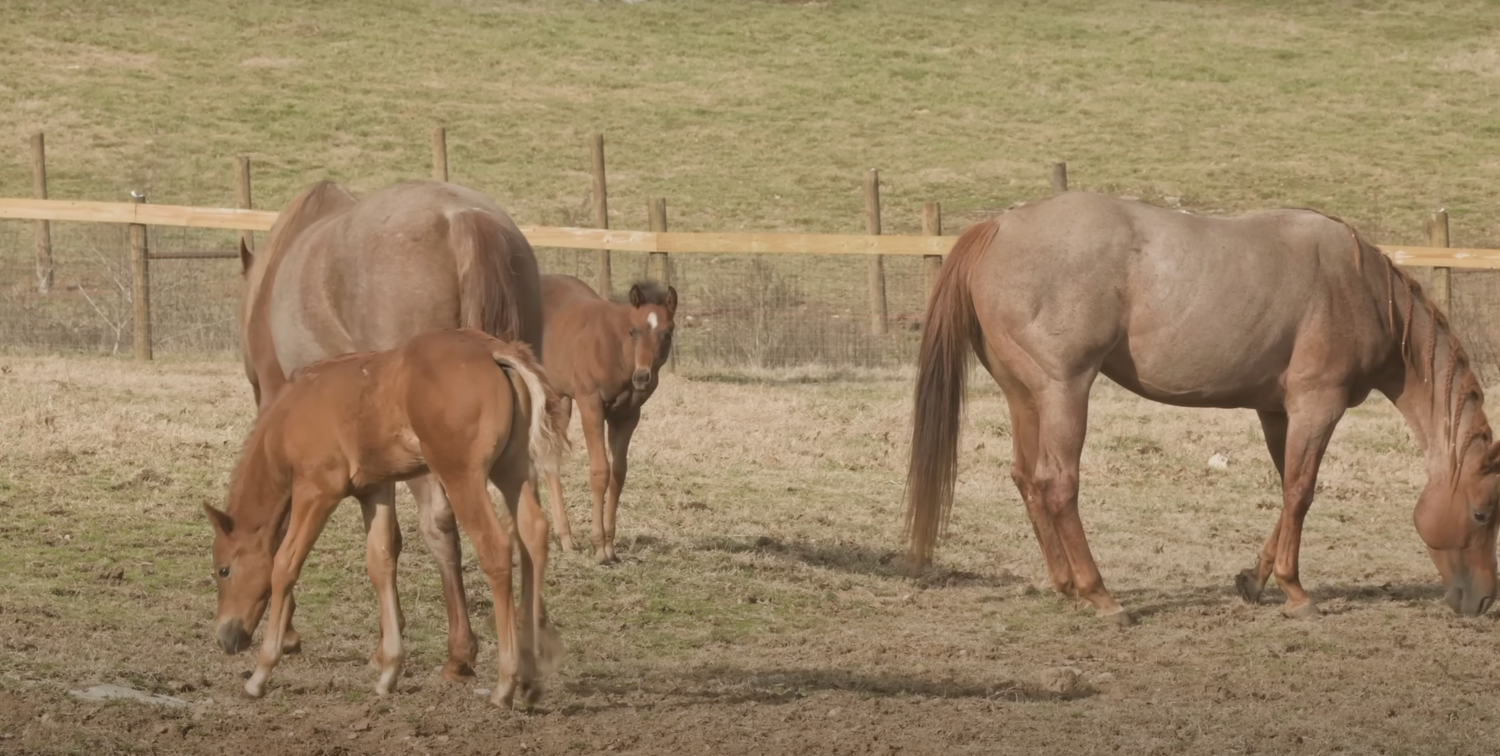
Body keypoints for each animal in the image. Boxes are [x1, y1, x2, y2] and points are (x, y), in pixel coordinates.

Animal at [205, 329, 568, 707]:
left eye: (223, 570)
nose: (225, 637)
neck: (292, 410)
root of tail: (494, 351)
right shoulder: (374, 490)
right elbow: (380, 565)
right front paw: (389, 671)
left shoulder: (316, 490)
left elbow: (284, 566)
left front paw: (260, 673)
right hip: (513, 470)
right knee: (533, 536)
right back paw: (531, 677)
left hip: (461, 476)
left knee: (495, 548)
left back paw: (505, 683)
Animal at [537, 275, 677, 564]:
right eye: (633, 332)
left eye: (667, 334)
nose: (642, 378)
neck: (615, 349)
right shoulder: (591, 404)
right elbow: (600, 470)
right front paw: (599, 547)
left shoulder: (627, 415)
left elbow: (619, 472)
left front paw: (611, 547)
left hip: (560, 398)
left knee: (550, 456)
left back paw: (565, 539)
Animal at [906, 191, 1500, 624]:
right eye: (1481, 512)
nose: (1483, 600)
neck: (1361, 289)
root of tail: (998, 228)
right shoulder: (1317, 406)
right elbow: (1301, 493)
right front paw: (1297, 592)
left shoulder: (1277, 413)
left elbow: (1287, 491)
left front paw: (1255, 580)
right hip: (1064, 392)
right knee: (1058, 485)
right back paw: (1102, 596)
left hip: (1024, 396)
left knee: (1028, 479)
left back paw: (1066, 586)